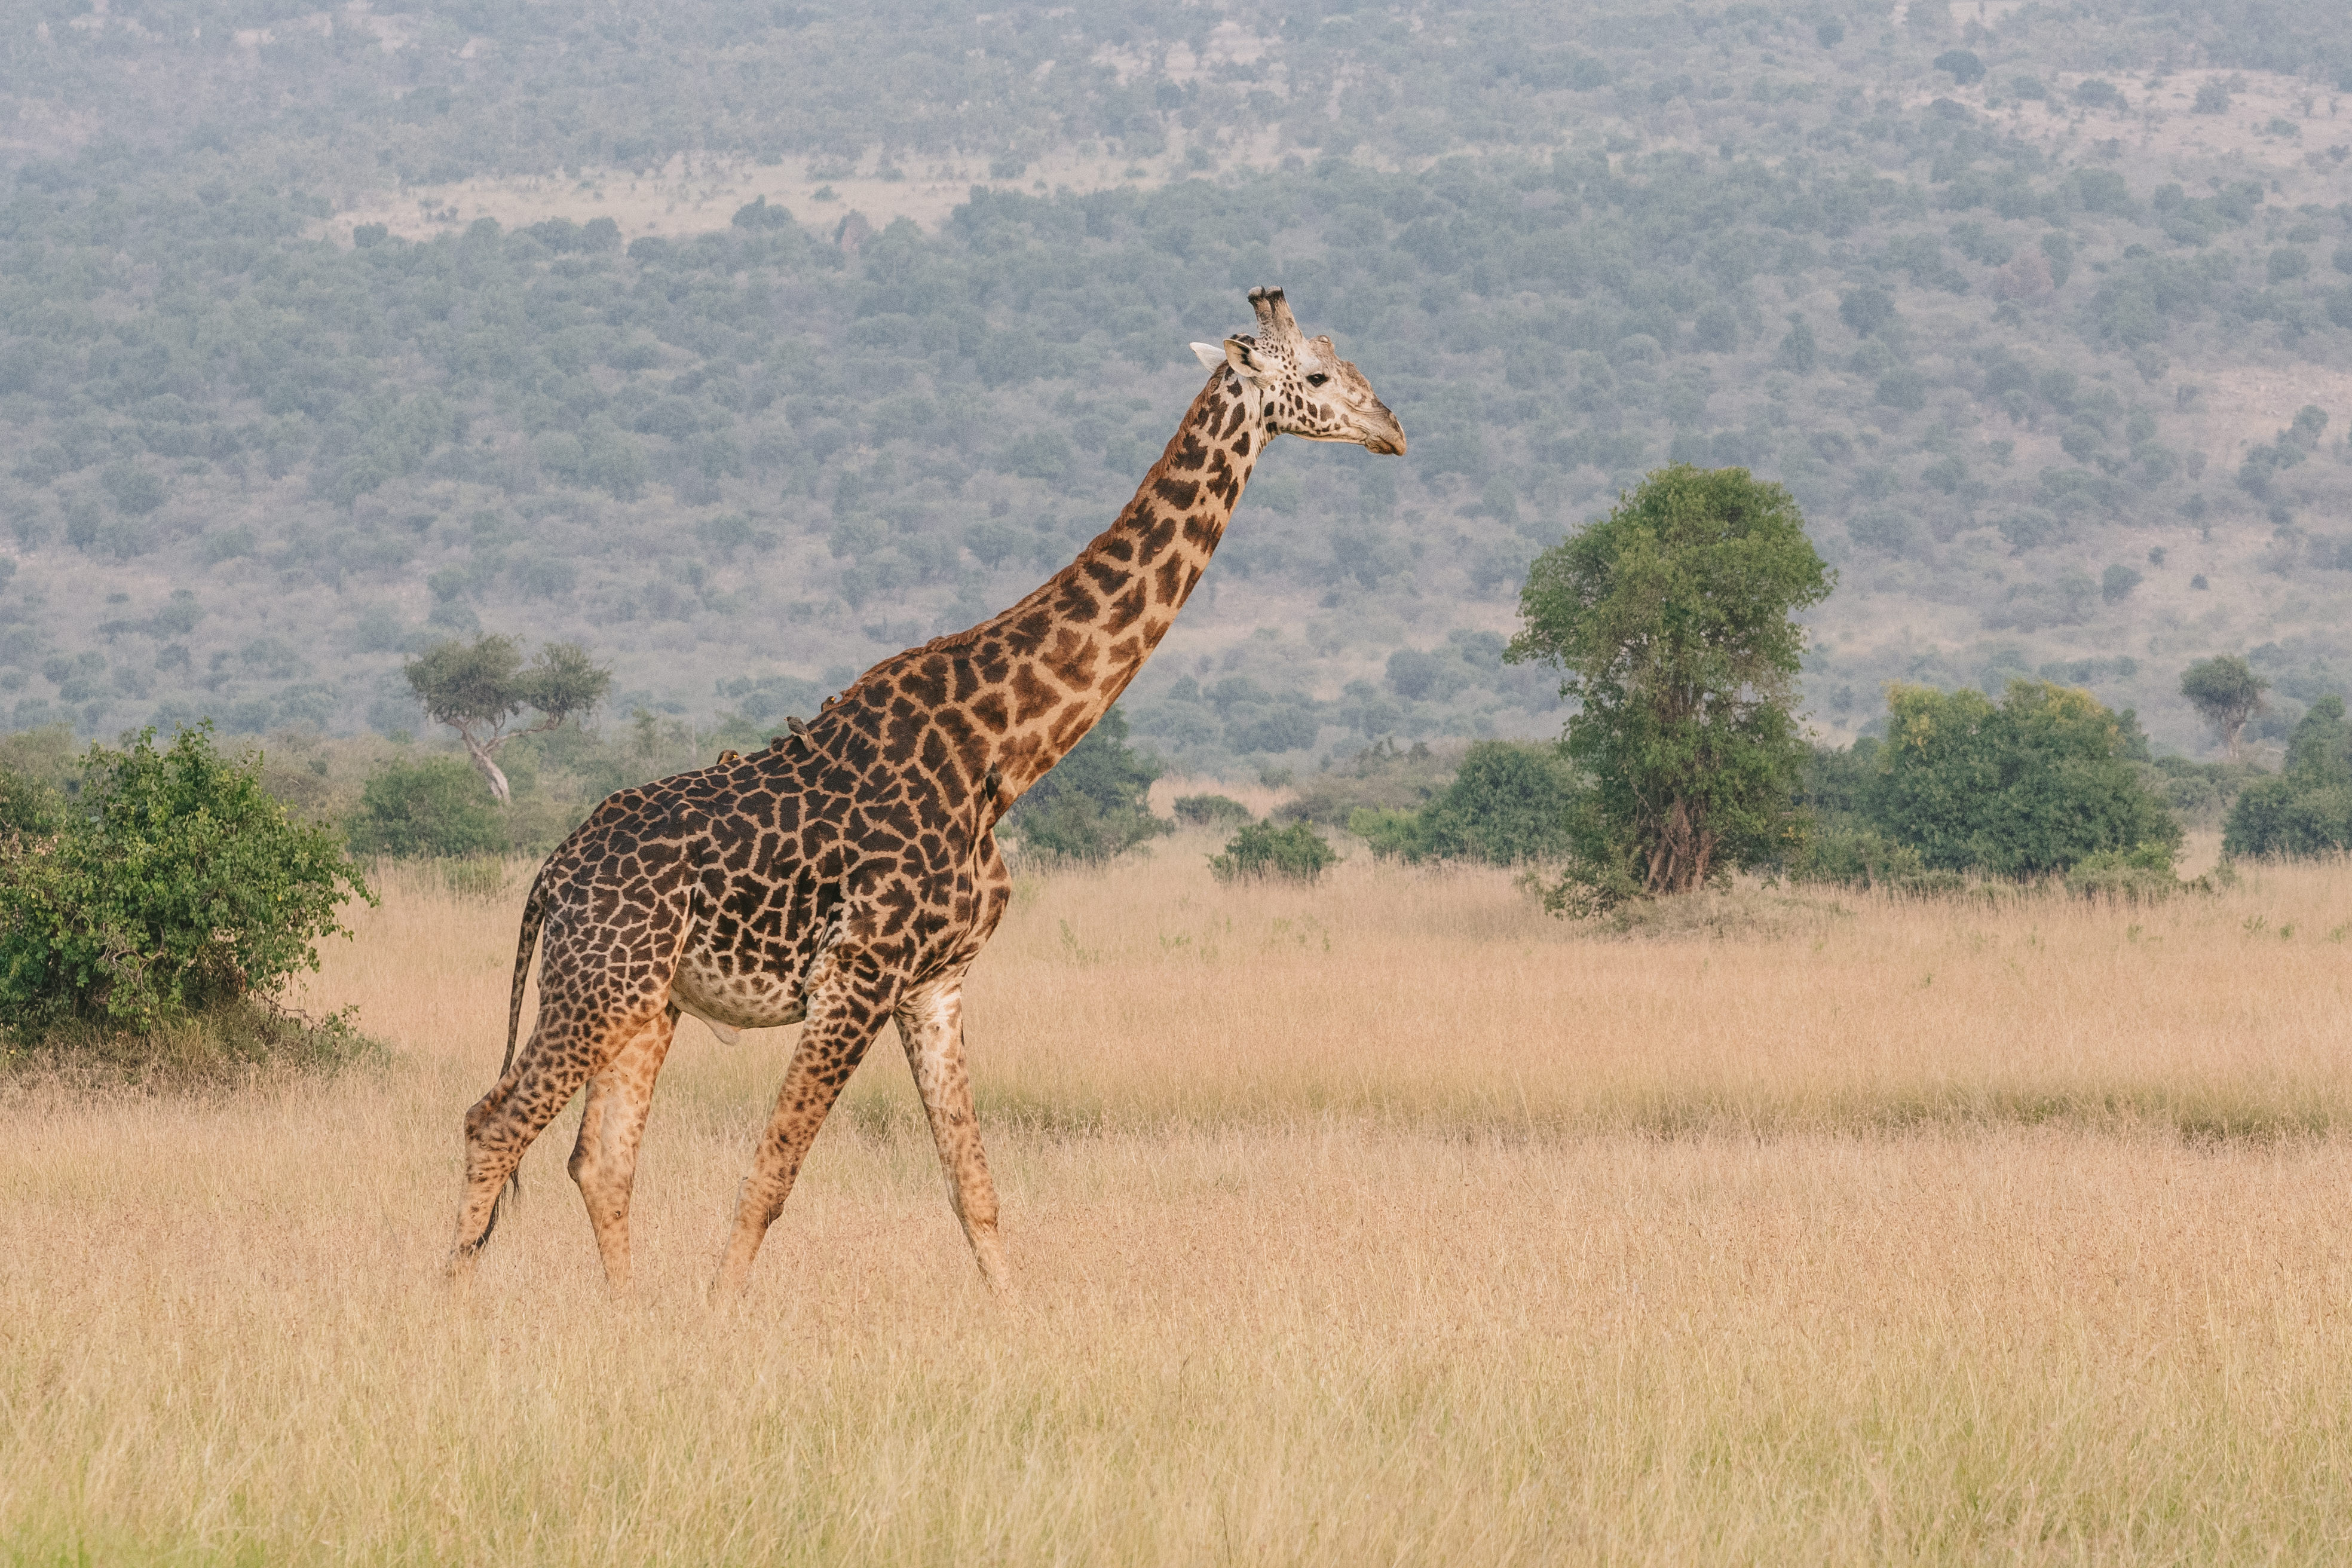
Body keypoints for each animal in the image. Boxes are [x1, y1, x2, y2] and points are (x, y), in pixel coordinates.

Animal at [449, 291, 1401, 1297]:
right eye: (1320, 375)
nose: (1394, 429)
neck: (1003, 752)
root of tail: (551, 876)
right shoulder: (858, 974)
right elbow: (774, 1171)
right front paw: (719, 1312)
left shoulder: (937, 983)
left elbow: (973, 1187)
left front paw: (1016, 1317)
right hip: (602, 983)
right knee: (495, 1124)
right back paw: (451, 1302)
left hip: (645, 1001)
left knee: (599, 1159)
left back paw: (628, 1315)